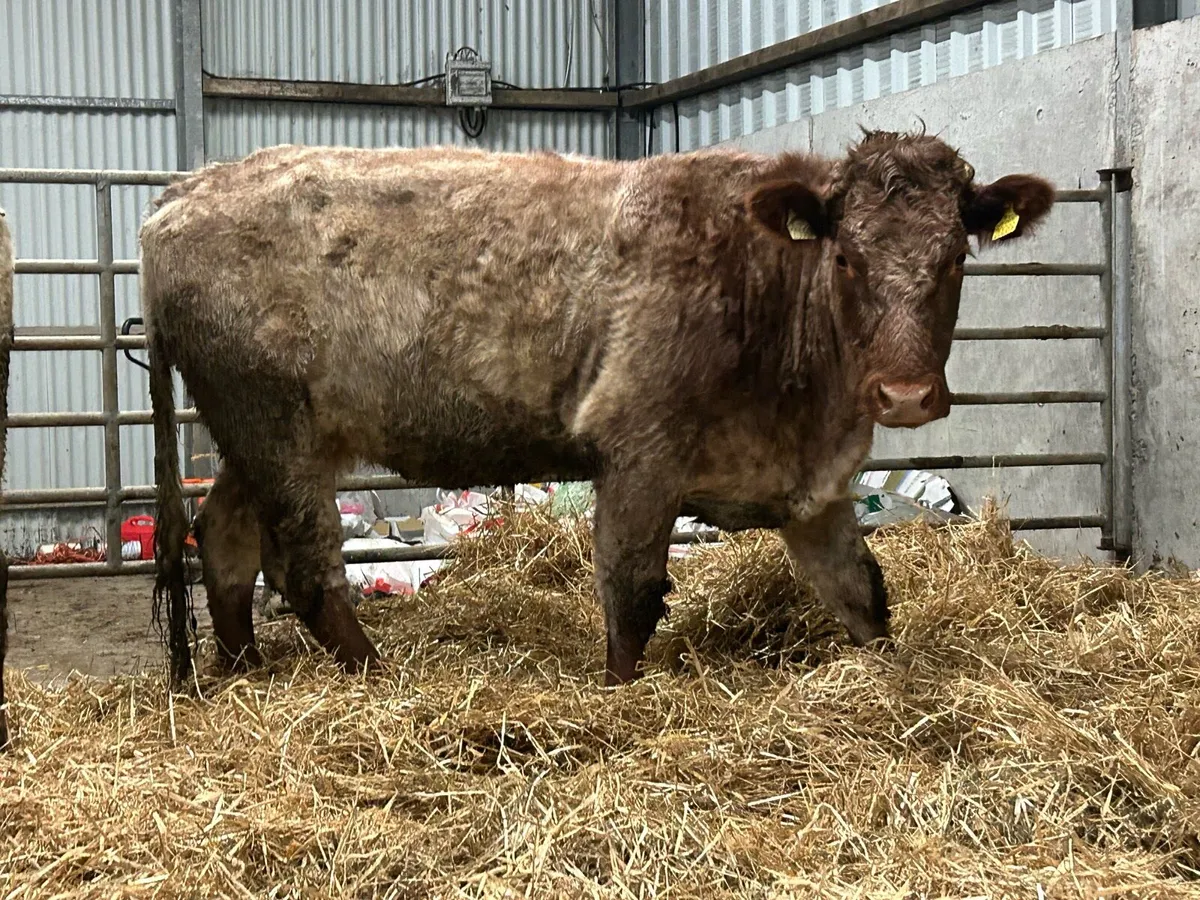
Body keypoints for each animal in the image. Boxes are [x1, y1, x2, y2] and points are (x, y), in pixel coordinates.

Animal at [139, 132, 1055, 689]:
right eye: (845, 257)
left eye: (955, 258)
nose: (903, 395)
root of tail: (184, 192)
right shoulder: (639, 449)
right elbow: (631, 594)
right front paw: (619, 698)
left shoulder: (815, 489)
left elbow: (863, 594)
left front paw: (894, 683)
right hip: (272, 423)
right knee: (302, 563)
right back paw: (376, 679)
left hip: (257, 435)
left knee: (224, 537)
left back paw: (244, 673)